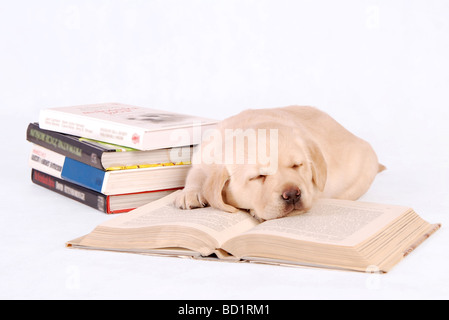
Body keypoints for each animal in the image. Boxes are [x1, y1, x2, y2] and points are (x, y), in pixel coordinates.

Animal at [173, 106, 384, 221]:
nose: (292, 194)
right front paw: (190, 194)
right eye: (259, 176)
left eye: (297, 165)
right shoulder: (203, 155)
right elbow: (196, 174)